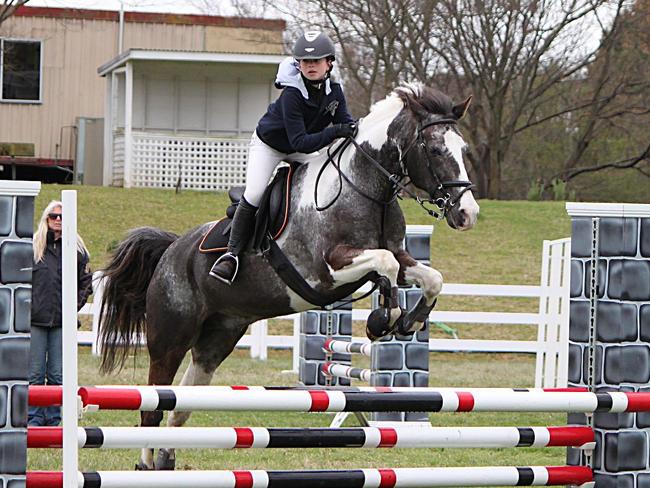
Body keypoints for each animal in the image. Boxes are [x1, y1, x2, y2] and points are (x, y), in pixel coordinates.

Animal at [98, 83, 478, 468]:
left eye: (463, 150)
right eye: (435, 149)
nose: (468, 214)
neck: (364, 188)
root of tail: (171, 251)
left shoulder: (398, 257)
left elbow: (429, 277)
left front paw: (407, 321)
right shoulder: (329, 269)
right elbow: (385, 265)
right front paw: (382, 320)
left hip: (217, 339)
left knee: (180, 406)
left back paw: (166, 460)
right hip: (170, 339)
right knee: (154, 406)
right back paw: (146, 464)